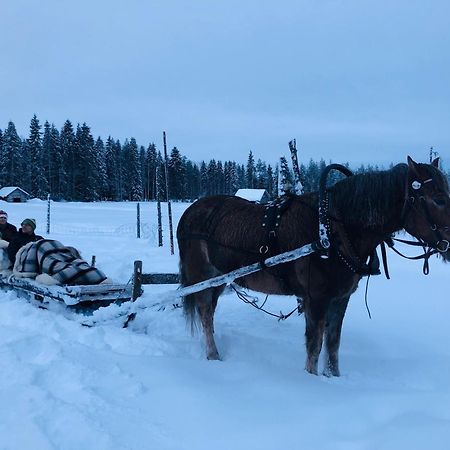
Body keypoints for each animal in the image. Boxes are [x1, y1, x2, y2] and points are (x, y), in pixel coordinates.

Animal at [176, 158, 450, 376]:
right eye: (438, 199)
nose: (449, 244)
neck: (334, 229)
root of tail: (190, 212)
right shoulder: (316, 299)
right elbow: (315, 345)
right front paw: (312, 382)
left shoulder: (340, 298)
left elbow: (333, 344)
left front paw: (333, 377)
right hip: (202, 277)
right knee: (205, 314)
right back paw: (213, 356)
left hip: (219, 280)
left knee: (209, 313)